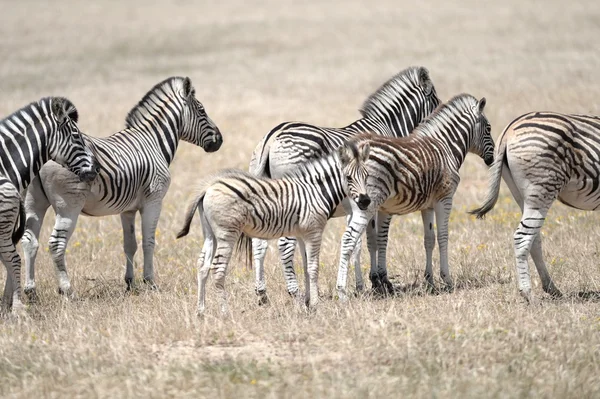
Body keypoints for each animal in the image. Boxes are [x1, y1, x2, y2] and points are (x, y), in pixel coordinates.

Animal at [21, 76, 224, 298]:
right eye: (202, 110)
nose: (220, 140)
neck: (153, 141)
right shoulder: (154, 201)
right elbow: (148, 242)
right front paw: (150, 282)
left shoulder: (127, 209)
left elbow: (130, 245)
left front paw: (130, 283)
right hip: (69, 206)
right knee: (56, 244)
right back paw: (67, 290)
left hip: (34, 202)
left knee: (30, 241)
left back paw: (30, 291)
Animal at [248, 66, 440, 304]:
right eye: (435, 100)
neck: (387, 126)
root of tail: (272, 137)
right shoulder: (378, 200)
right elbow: (376, 239)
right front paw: (380, 281)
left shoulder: (359, 203)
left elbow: (357, 243)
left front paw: (359, 285)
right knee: (284, 244)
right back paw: (296, 293)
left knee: (259, 243)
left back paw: (262, 293)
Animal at [336, 94, 494, 298]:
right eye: (489, 129)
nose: (492, 159)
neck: (445, 146)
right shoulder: (445, 198)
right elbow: (443, 236)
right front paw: (447, 280)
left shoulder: (427, 205)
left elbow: (429, 239)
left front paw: (430, 281)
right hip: (367, 203)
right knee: (349, 239)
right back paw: (341, 291)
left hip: (356, 204)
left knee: (353, 241)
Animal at [468, 111, 600, 302]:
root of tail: (509, 131)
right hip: (542, 188)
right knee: (522, 238)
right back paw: (527, 293)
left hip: (522, 195)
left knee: (534, 239)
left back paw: (551, 288)